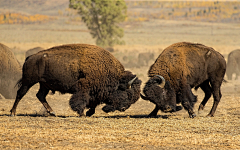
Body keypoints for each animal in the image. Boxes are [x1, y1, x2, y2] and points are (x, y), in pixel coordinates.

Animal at [10, 44, 142, 116]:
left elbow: (93, 104)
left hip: (44, 85)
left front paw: (88, 113)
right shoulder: (84, 89)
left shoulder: (95, 92)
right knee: (20, 93)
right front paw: (82, 113)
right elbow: (81, 100)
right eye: (127, 93)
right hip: (29, 81)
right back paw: (13, 112)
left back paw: (52, 112)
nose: (123, 109)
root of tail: (30, 57)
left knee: (40, 95)